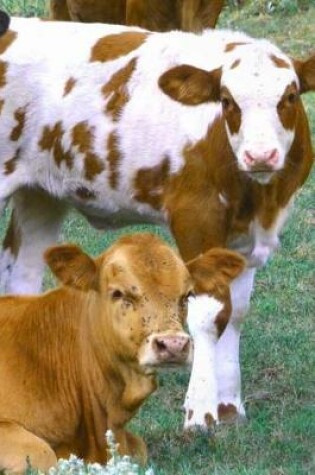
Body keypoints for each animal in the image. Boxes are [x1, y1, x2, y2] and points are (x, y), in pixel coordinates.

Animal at [0, 18, 314, 430]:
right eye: (227, 101)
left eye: (290, 96)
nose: (260, 154)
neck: (259, 195)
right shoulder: (195, 216)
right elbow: (208, 313)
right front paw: (201, 412)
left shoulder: (245, 238)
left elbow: (236, 313)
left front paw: (230, 407)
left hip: (40, 196)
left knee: (21, 280)